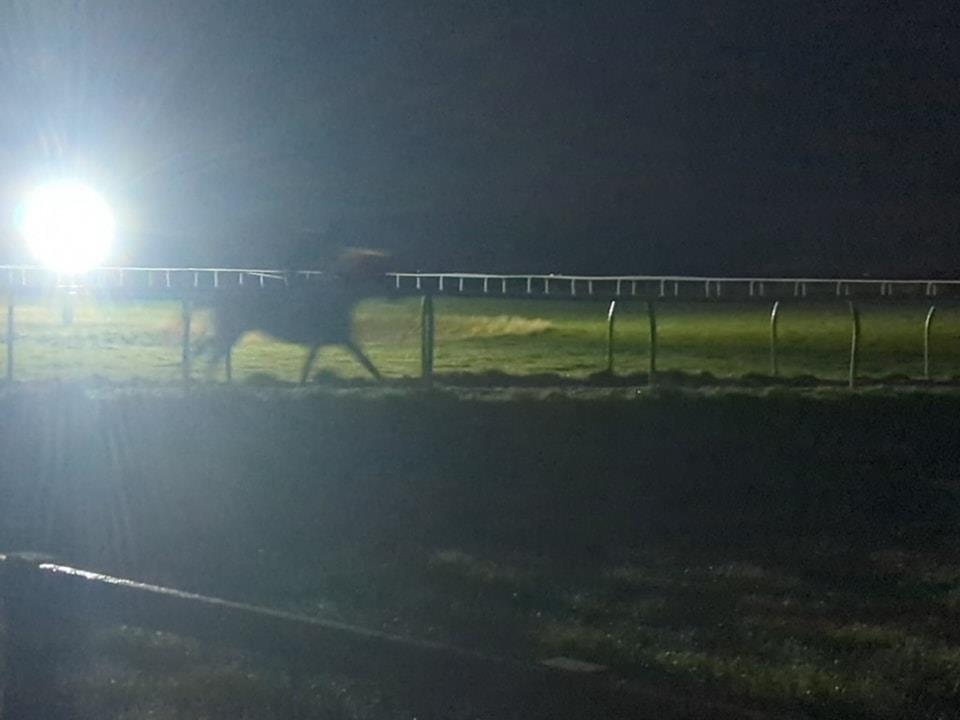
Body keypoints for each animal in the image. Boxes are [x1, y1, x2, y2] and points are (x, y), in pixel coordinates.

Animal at [198, 250, 390, 383]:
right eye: (378, 268)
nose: (389, 290)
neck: (337, 297)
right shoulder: (334, 338)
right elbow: (362, 360)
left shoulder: (334, 339)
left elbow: (359, 359)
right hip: (232, 331)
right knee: (214, 352)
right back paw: (208, 378)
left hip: (232, 332)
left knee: (212, 348)